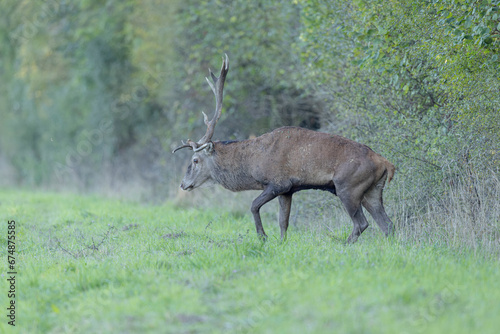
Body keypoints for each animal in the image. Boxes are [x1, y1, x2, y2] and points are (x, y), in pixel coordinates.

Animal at [172, 54, 394, 243]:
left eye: (195, 160)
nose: (183, 184)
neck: (252, 164)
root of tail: (386, 163)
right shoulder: (289, 190)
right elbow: (283, 221)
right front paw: (281, 243)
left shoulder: (279, 183)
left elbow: (254, 205)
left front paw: (263, 237)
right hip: (373, 191)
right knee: (387, 224)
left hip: (348, 186)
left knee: (361, 223)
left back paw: (344, 245)